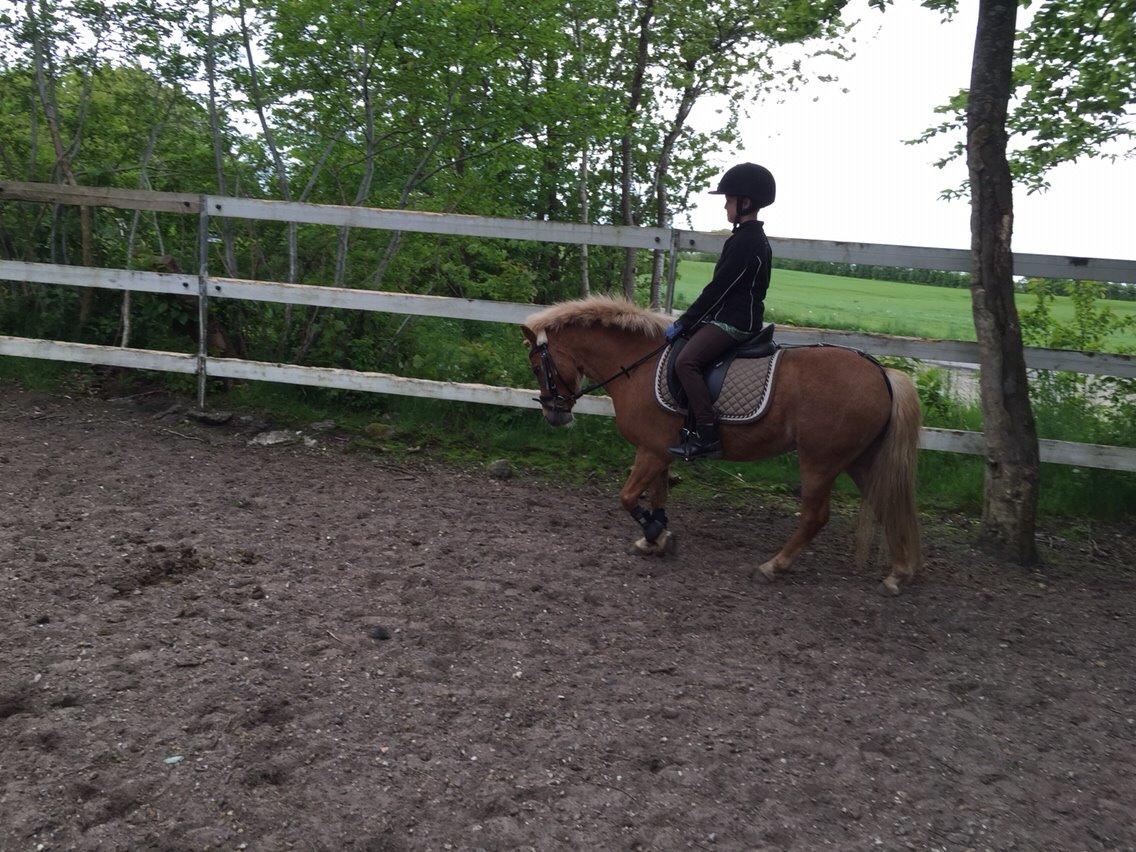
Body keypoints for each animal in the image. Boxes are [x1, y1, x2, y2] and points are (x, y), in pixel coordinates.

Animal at [521, 296, 923, 595]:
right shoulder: (660, 452)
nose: (554, 415)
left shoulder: (650, 451)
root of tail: (882, 372)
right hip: (860, 460)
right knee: (887, 504)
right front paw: (655, 539)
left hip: (820, 461)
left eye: (538, 368)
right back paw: (898, 573)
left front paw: (655, 534)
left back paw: (772, 566)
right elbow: (657, 495)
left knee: (815, 517)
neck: (639, 365)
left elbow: (627, 497)